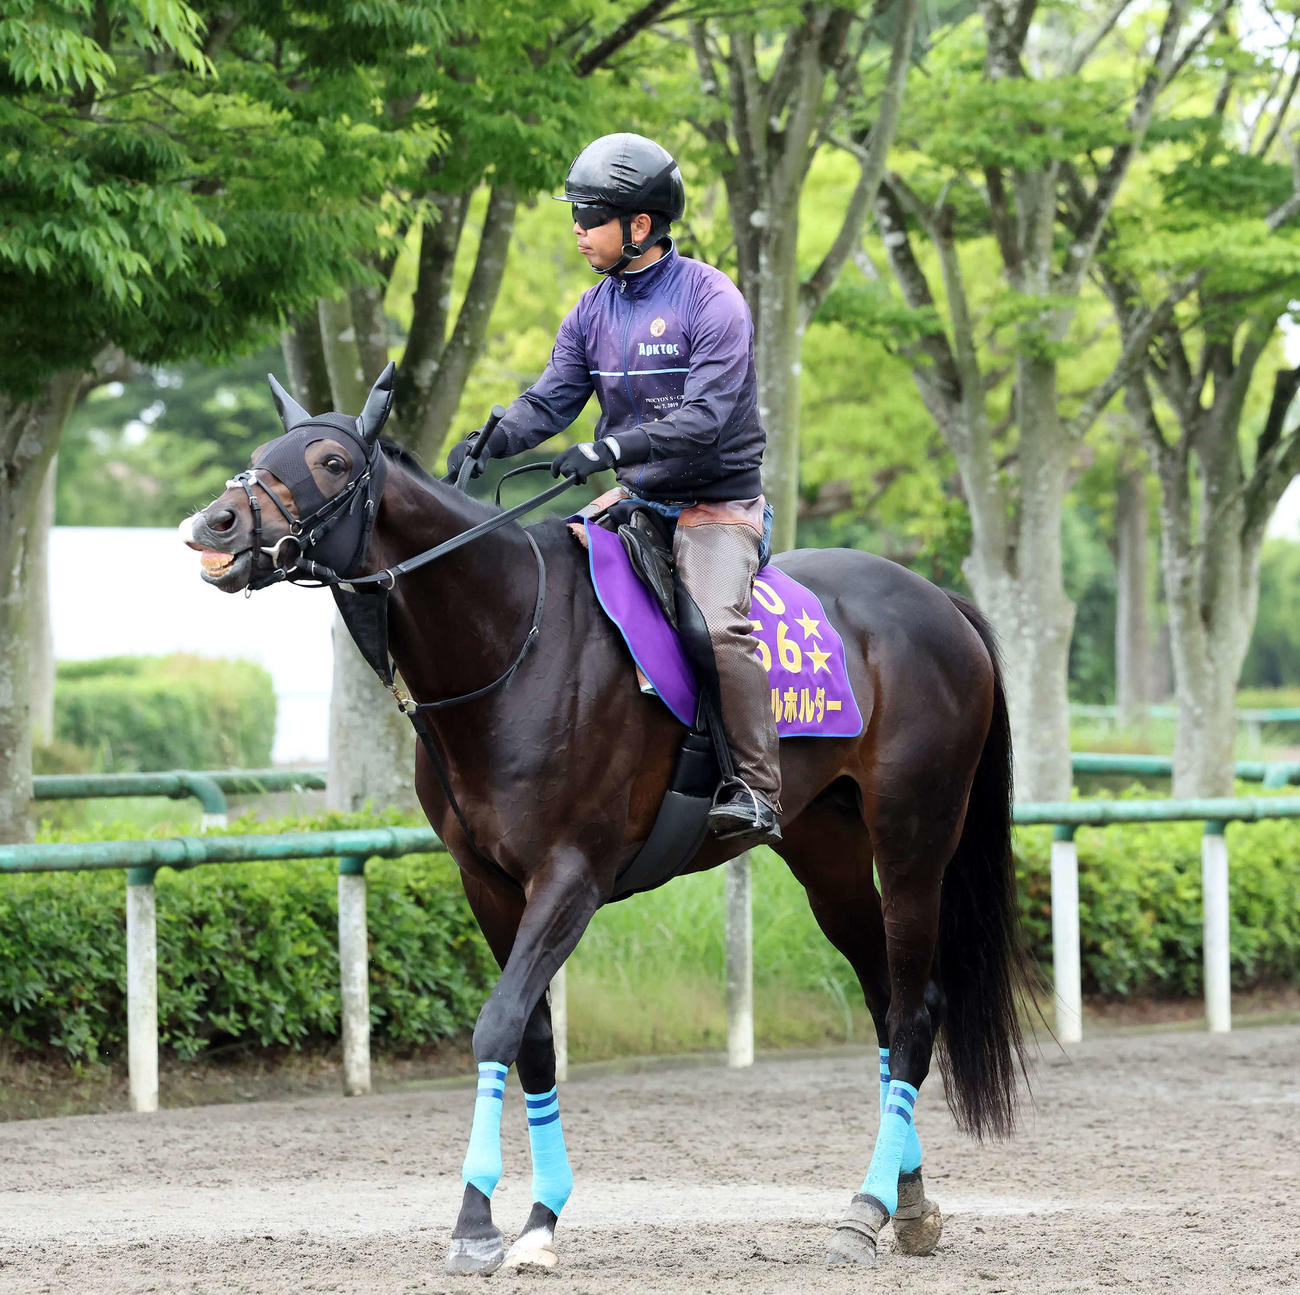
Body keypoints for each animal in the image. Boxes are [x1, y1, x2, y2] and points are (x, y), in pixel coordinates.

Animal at [180, 364, 1031, 1274]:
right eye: (267, 448)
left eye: (333, 461)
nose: (215, 523)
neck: (510, 639)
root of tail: (938, 599)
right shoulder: (488, 883)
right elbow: (532, 1039)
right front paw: (539, 1217)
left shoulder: (572, 877)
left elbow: (497, 1024)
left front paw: (477, 1218)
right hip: (826, 854)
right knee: (882, 1001)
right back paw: (907, 1202)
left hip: (913, 839)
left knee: (914, 1010)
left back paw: (865, 1208)